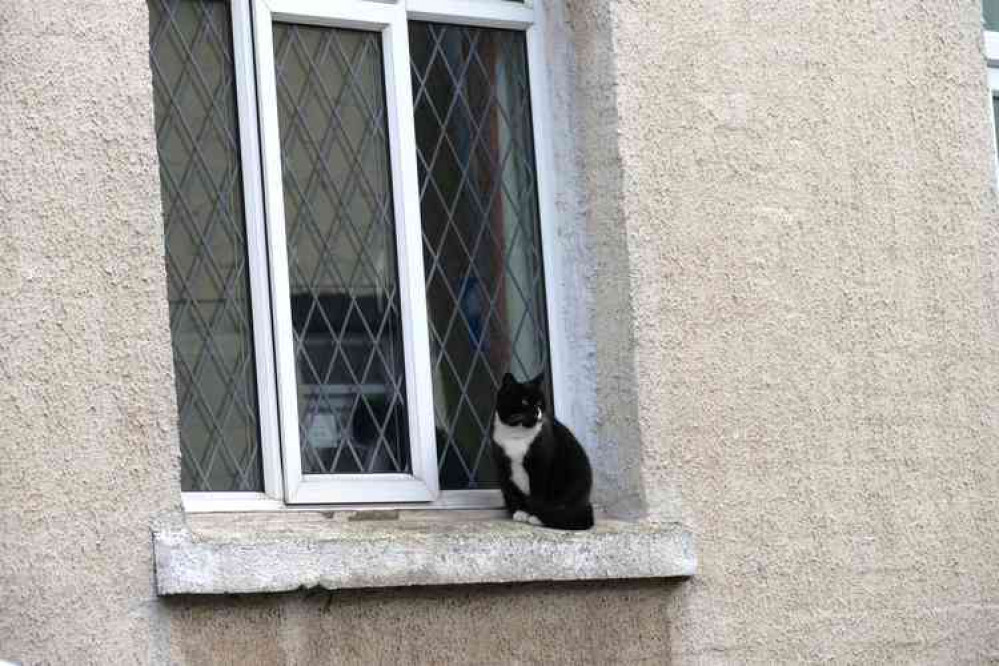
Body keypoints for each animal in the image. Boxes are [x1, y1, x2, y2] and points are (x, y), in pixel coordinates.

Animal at [492, 368, 592, 528]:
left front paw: (535, 515)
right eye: (524, 401)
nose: (537, 411)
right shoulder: (502, 466)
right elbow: (513, 492)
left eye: (539, 402)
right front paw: (520, 512)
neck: (517, 435)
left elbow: (538, 495)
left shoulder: (540, 466)